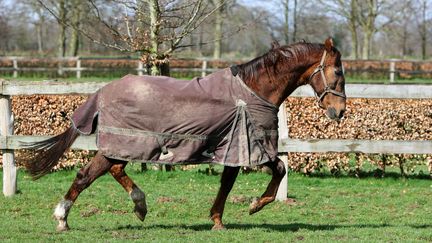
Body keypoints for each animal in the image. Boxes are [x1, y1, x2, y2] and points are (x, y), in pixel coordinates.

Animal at [23, 37, 348, 232]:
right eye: (337, 72)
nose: (340, 111)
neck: (253, 91)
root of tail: (103, 91)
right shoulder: (248, 145)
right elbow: (276, 170)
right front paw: (253, 206)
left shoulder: (233, 147)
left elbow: (229, 182)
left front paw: (218, 218)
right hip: (124, 143)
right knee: (86, 175)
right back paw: (62, 219)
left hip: (126, 146)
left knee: (113, 170)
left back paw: (140, 206)